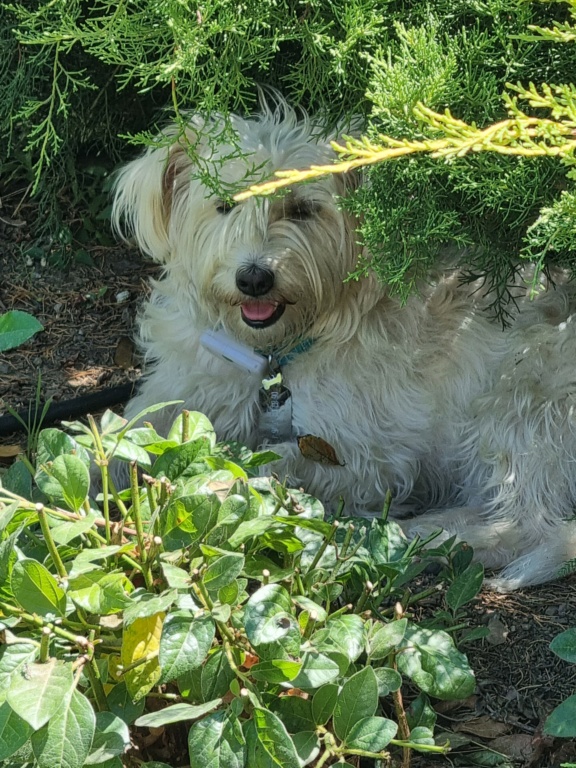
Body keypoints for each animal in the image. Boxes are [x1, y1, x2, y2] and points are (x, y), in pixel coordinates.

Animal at [113, 94, 576, 588]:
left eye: (301, 209)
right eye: (224, 205)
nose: (254, 278)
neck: (275, 354)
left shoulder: (373, 456)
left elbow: (272, 460)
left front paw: (214, 485)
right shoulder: (181, 392)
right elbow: (115, 436)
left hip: (520, 400)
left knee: (523, 524)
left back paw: (418, 535)